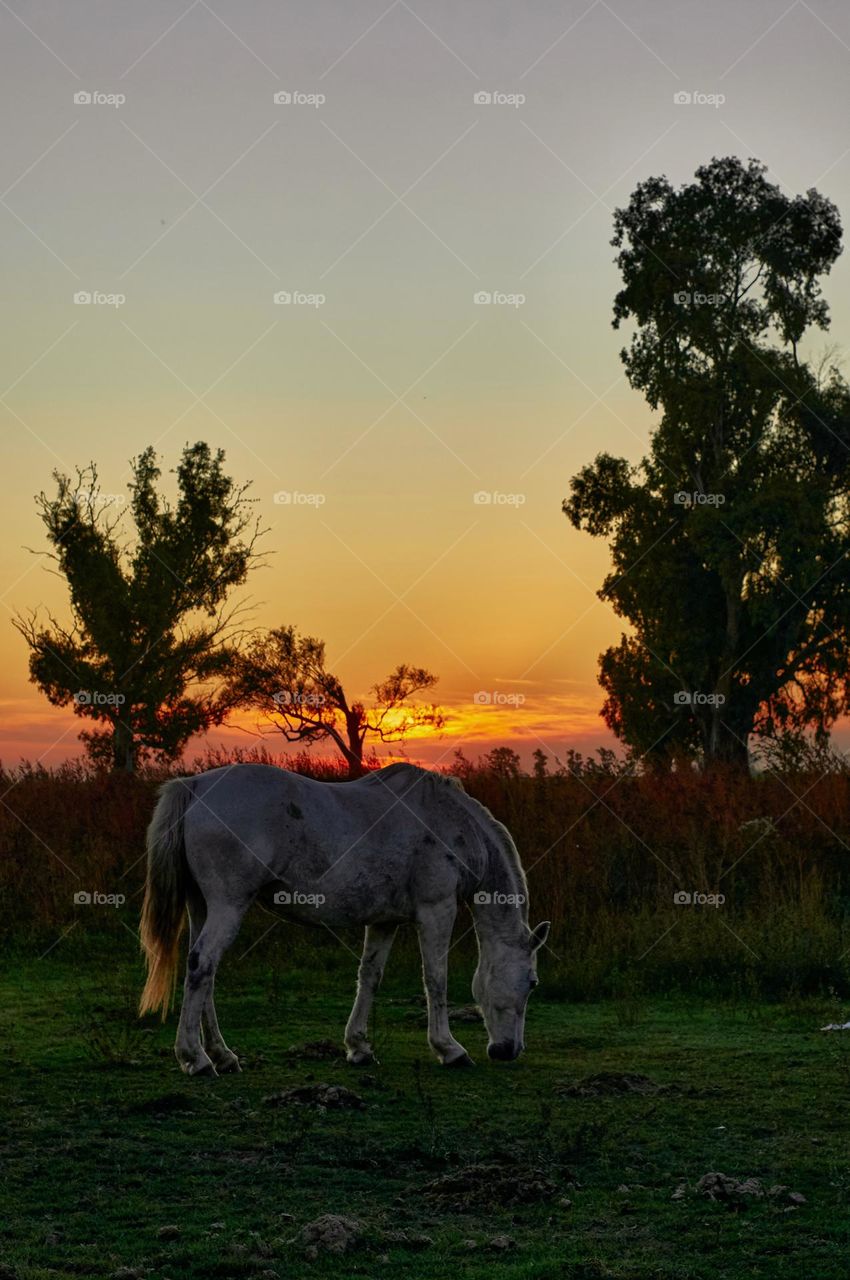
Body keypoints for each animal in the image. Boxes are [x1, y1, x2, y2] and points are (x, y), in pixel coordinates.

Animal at [139, 762, 550, 1075]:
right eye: (532, 983)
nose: (509, 1050)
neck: (448, 821)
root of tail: (194, 786)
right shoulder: (437, 910)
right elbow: (436, 980)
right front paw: (448, 1049)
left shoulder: (385, 921)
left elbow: (369, 977)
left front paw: (358, 1047)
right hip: (228, 905)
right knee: (202, 965)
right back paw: (196, 1059)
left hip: (202, 906)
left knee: (203, 972)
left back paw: (222, 1055)